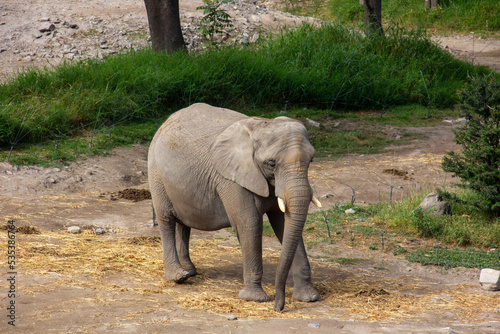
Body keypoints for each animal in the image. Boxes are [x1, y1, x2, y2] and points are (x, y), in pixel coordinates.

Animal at [146, 102, 322, 310]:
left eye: (311, 160)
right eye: (271, 163)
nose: (279, 307)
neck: (262, 125)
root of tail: (166, 121)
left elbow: (285, 225)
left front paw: (309, 297)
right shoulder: (231, 179)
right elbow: (249, 224)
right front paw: (255, 298)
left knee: (184, 223)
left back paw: (190, 271)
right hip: (156, 172)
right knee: (166, 219)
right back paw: (178, 277)